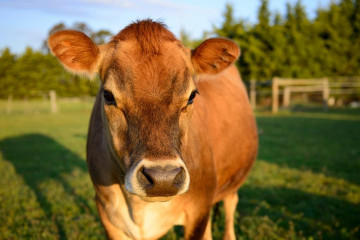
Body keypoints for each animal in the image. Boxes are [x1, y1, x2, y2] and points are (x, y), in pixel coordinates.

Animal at [48, 19, 256, 240]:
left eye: (192, 95)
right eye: (108, 95)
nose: (163, 178)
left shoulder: (198, 210)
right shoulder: (107, 213)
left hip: (232, 183)